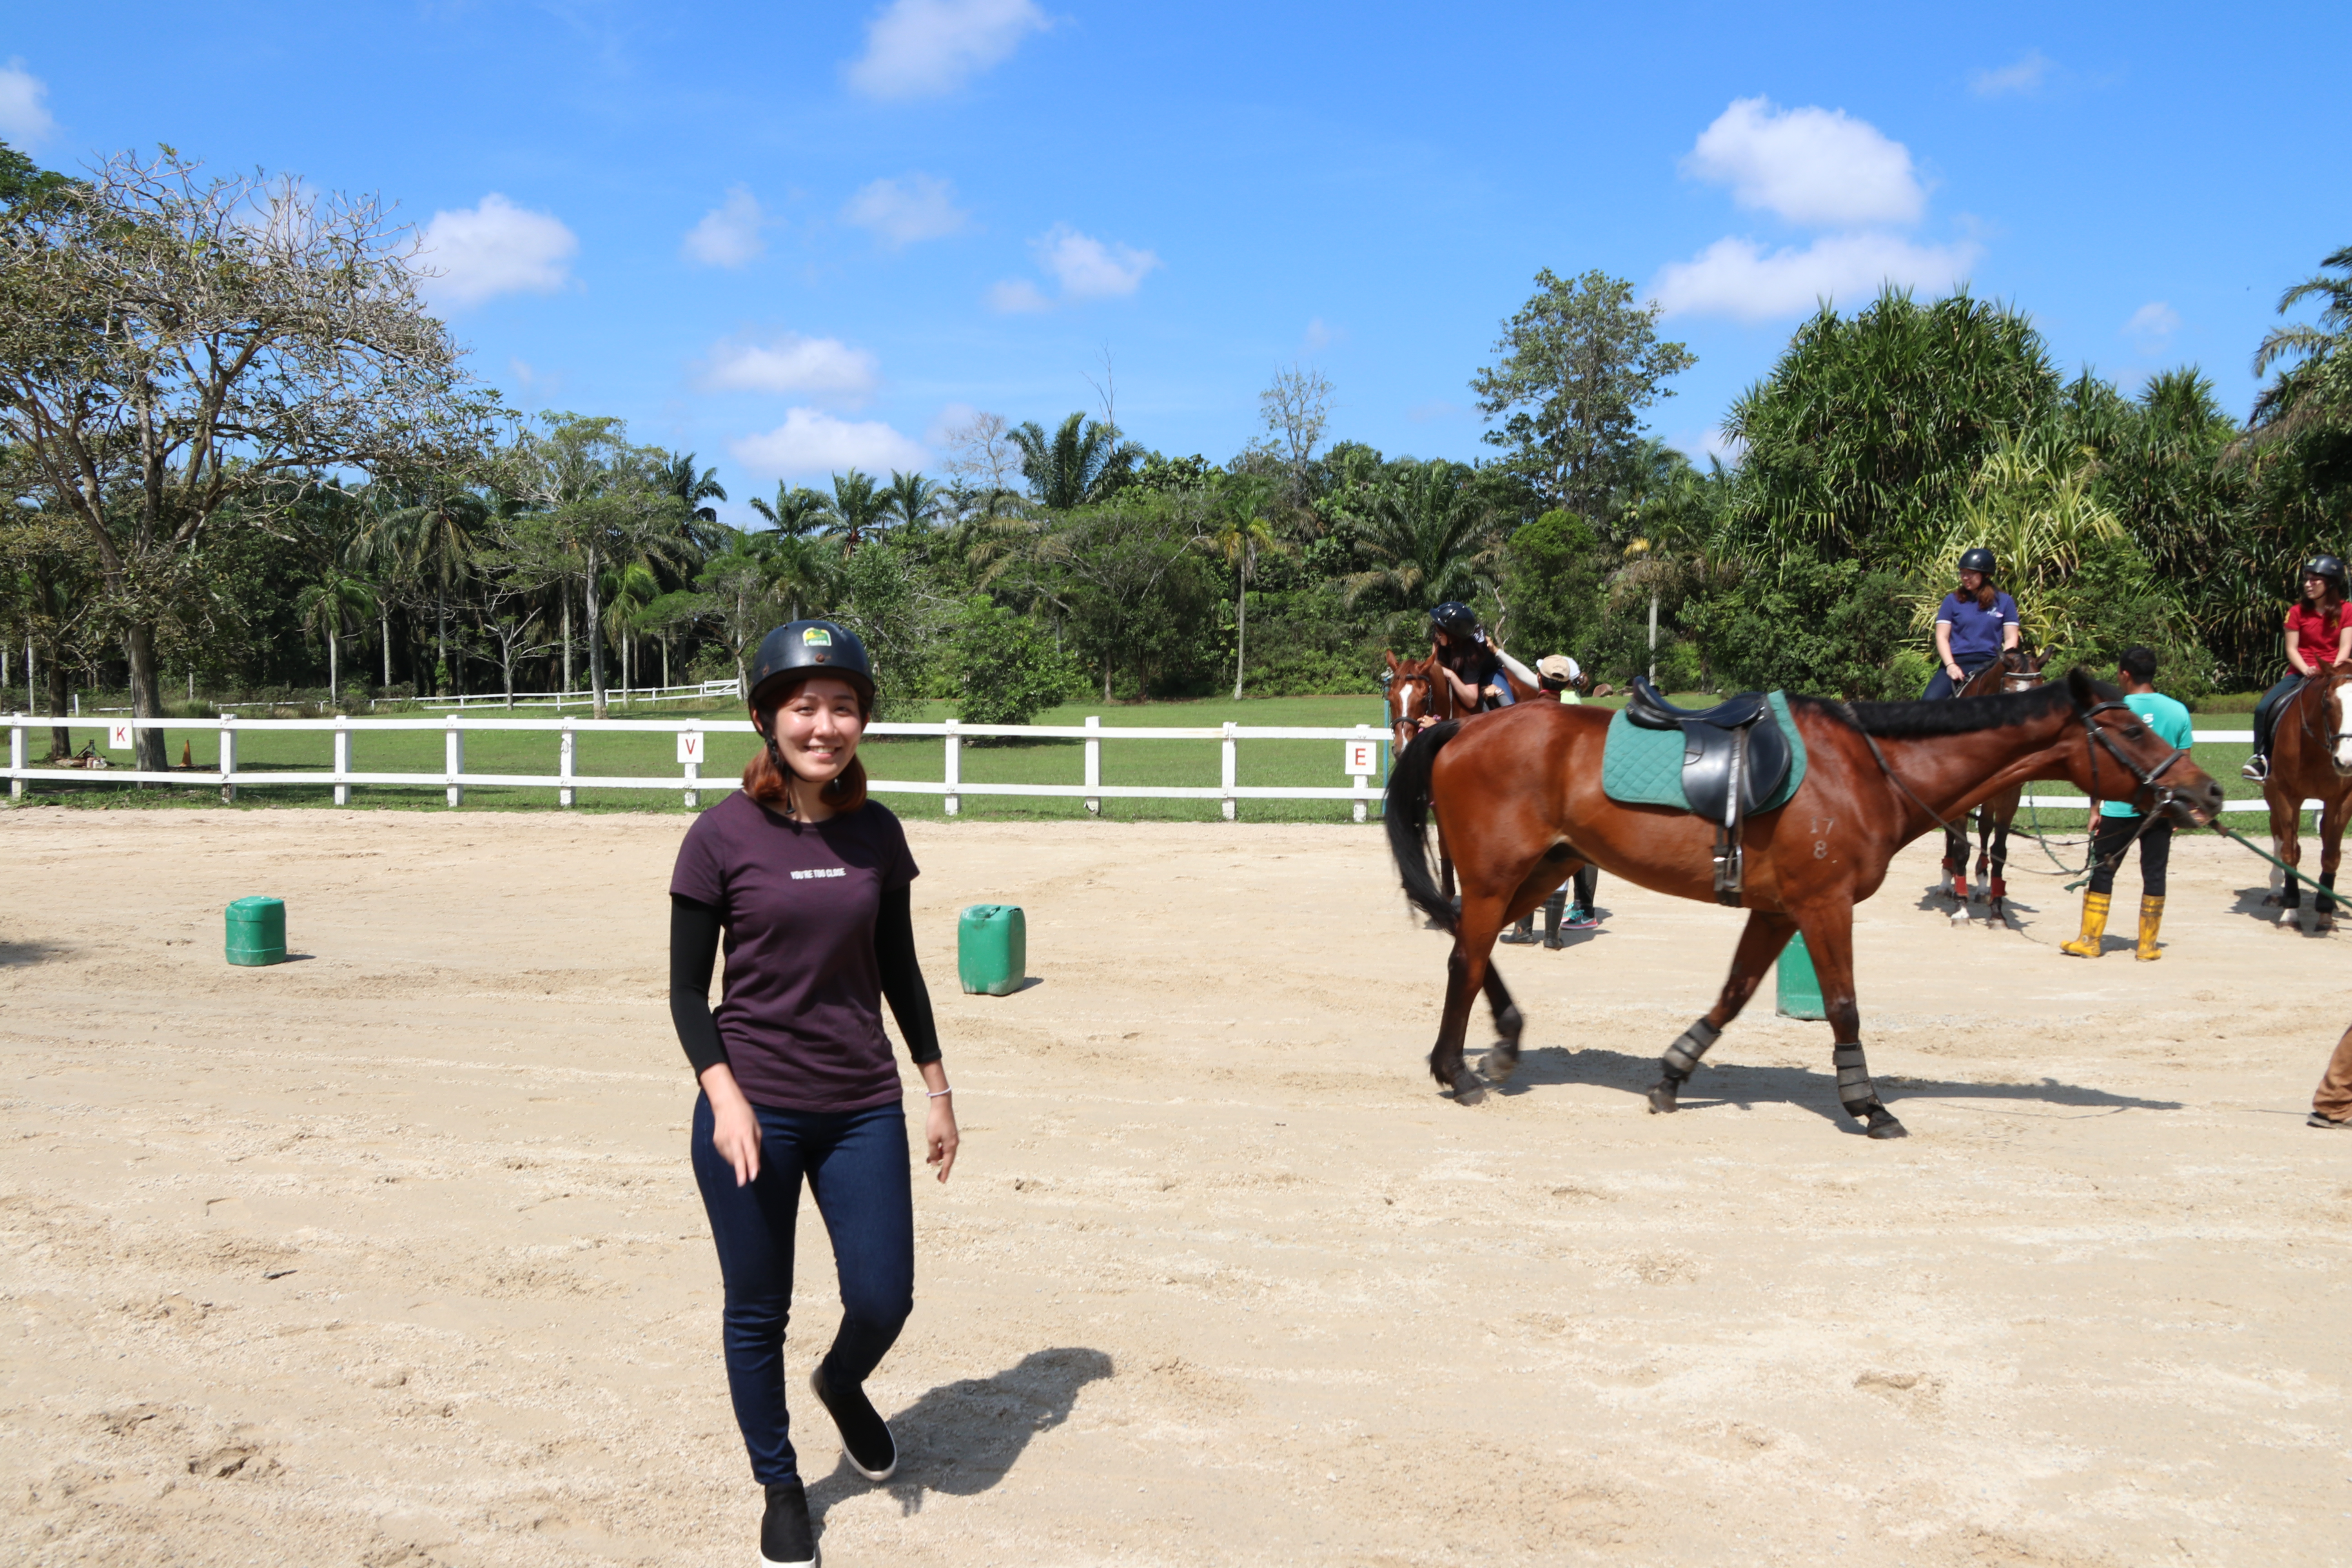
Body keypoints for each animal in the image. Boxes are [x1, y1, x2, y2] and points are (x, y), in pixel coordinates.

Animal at [1937, 647, 2048, 927]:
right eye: (2007, 692)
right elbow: (1961, 848)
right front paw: (1961, 909)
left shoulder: (2009, 795)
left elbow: (2000, 850)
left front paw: (1997, 912)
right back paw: (1947, 882)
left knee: (1986, 829)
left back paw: (1982, 886)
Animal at [2258, 664, 2352, 932]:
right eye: (2328, 703)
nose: (2346, 761)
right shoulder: (2287, 797)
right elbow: (2290, 853)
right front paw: (2290, 913)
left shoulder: (2342, 800)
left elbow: (2331, 856)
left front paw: (2326, 914)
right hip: (2272, 796)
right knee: (2279, 836)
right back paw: (2276, 893)